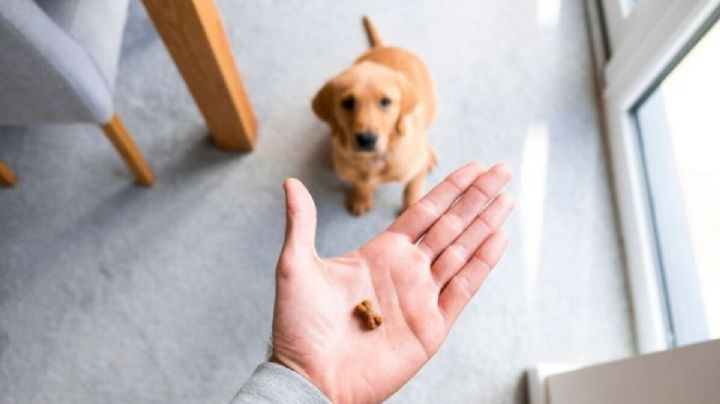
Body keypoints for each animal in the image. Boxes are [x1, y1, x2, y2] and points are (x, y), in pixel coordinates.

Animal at [312, 16, 436, 215]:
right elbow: (359, 181)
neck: (373, 160)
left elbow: (412, 188)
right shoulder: (349, 169)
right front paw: (361, 197)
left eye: (385, 102)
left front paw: (410, 205)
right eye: (347, 102)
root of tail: (386, 47)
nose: (366, 139)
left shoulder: (416, 170)